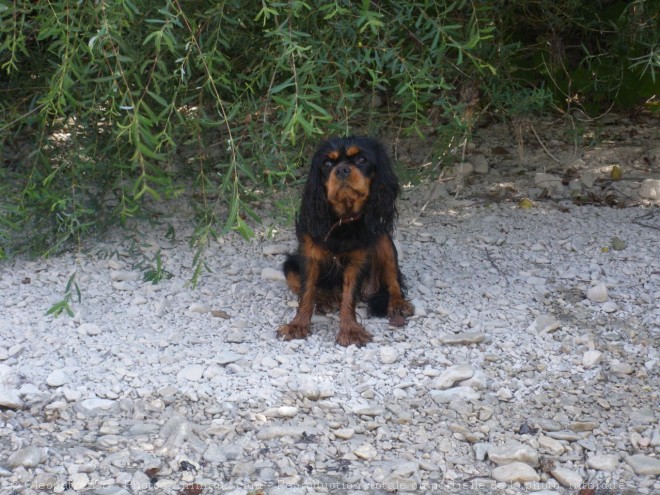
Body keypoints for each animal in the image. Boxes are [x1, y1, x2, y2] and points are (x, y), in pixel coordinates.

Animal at [278, 136, 412, 344]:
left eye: (362, 160)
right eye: (327, 163)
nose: (341, 170)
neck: (342, 220)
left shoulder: (357, 260)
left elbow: (349, 296)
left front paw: (350, 330)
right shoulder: (309, 255)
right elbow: (307, 291)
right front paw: (297, 325)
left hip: (383, 239)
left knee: (392, 278)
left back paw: (398, 303)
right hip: (290, 266)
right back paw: (326, 299)